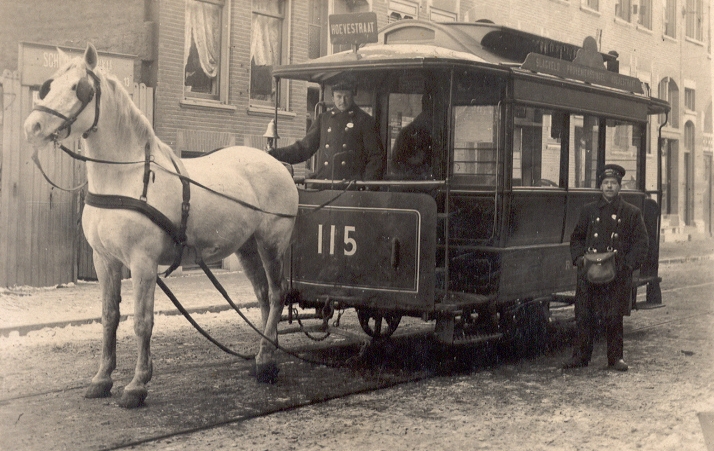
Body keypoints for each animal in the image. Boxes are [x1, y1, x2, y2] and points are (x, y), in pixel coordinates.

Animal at [23, 44, 298, 408]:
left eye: (79, 89)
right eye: (48, 86)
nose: (33, 126)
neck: (124, 176)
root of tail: (277, 163)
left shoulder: (143, 261)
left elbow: (142, 320)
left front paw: (137, 385)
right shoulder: (104, 260)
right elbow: (109, 317)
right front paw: (102, 378)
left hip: (271, 243)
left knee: (279, 293)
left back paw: (266, 358)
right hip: (247, 247)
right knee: (264, 296)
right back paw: (265, 355)